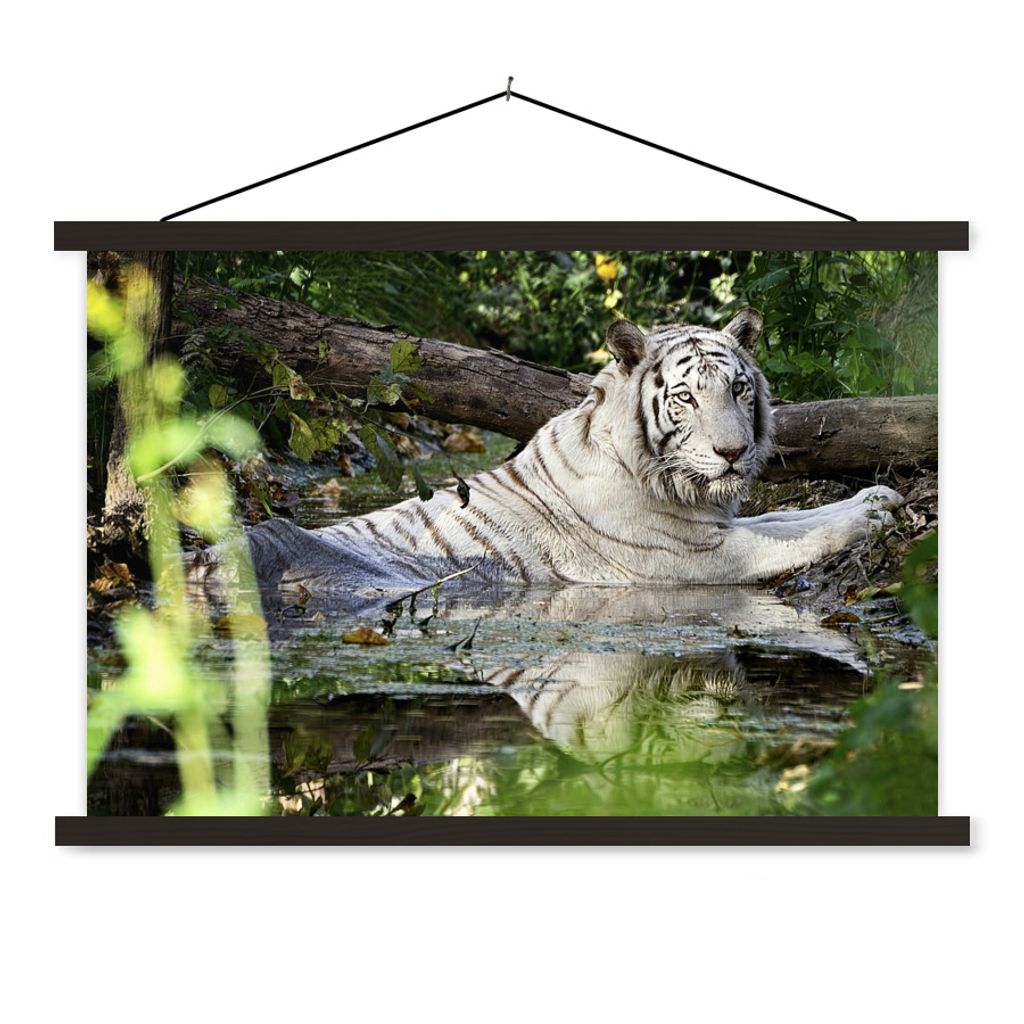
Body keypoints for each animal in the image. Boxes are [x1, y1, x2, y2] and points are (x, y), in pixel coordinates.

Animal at [208, 307, 902, 597]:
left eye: (738, 388)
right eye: (685, 397)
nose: (732, 453)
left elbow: (791, 517)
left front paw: (879, 495)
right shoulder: (694, 557)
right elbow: (793, 536)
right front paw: (870, 511)